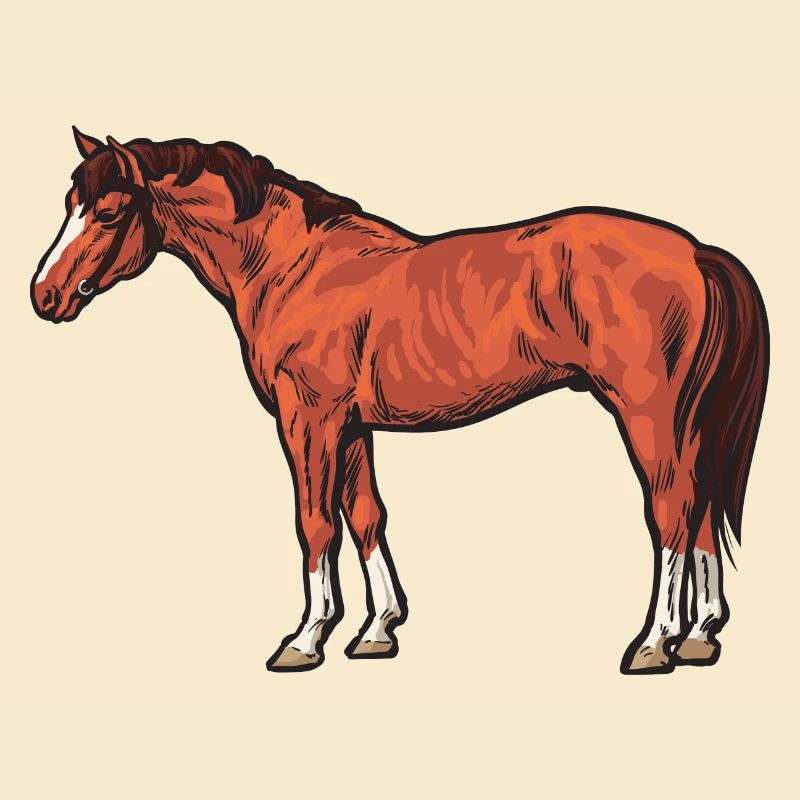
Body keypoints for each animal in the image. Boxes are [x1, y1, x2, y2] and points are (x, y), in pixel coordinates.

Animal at [31, 128, 769, 674]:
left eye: (108, 210)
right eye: (70, 202)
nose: (44, 295)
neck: (293, 267)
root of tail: (697, 252)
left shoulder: (308, 419)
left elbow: (314, 523)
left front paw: (304, 640)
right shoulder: (352, 426)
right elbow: (365, 516)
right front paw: (376, 630)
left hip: (647, 413)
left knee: (671, 510)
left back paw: (654, 642)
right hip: (686, 421)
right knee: (702, 507)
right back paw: (700, 636)